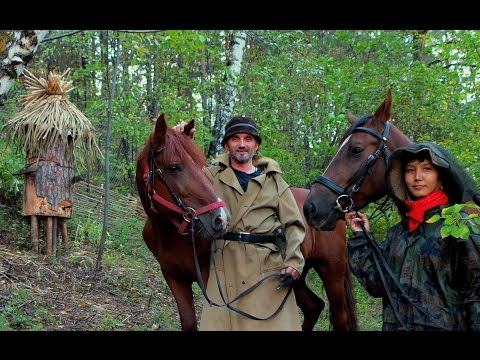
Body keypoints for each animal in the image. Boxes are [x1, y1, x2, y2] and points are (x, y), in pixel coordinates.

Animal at [137, 114, 358, 330]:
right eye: (174, 167)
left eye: (201, 166)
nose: (221, 218)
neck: (172, 236)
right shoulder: (175, 279)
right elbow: (189, 322)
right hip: (294, 278)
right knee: (314, 306)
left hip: (331, 272)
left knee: (339, 316)